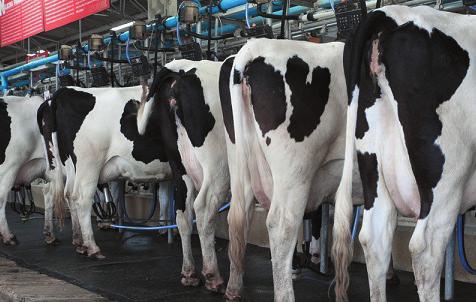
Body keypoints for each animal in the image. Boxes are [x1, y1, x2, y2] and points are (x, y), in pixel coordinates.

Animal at [137, 59, 230, 292]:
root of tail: (181, 70)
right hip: (218, 165)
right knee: (203, 207)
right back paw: (212, 276)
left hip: (179, 167)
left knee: (183, 212)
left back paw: (189, 273)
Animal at [223, 39, 364, 300]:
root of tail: (254, 46)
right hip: (295, 171)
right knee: (281, 225)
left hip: (240, 162)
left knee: (238, 215)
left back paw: (232, 288)